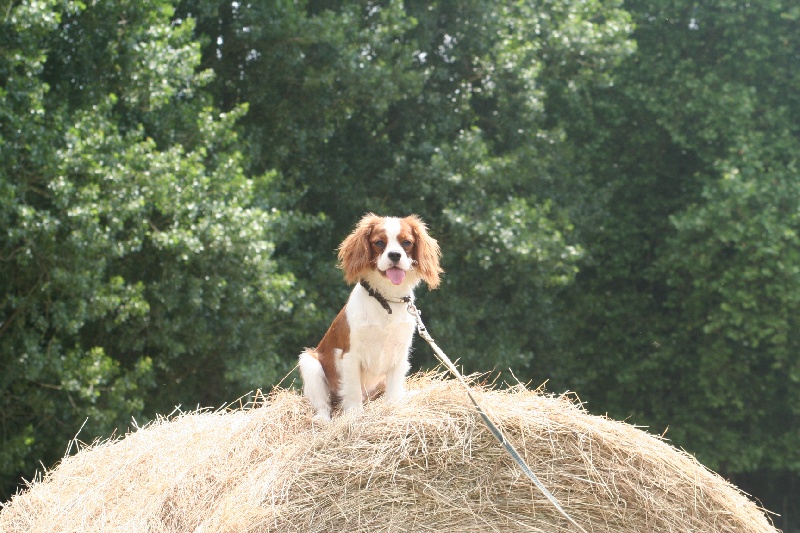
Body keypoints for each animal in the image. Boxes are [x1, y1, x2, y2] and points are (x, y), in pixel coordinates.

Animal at [300, 213, 440, 420]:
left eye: (407, 243)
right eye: (379, 243)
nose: (395, 255)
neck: (386, 300)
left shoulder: (399, 355)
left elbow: (393, 391)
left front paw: (393, 410)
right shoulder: (350, 355)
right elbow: (352, 391)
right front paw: (354, 415)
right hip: (310, 363)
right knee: (324, 404)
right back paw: (323, 419)